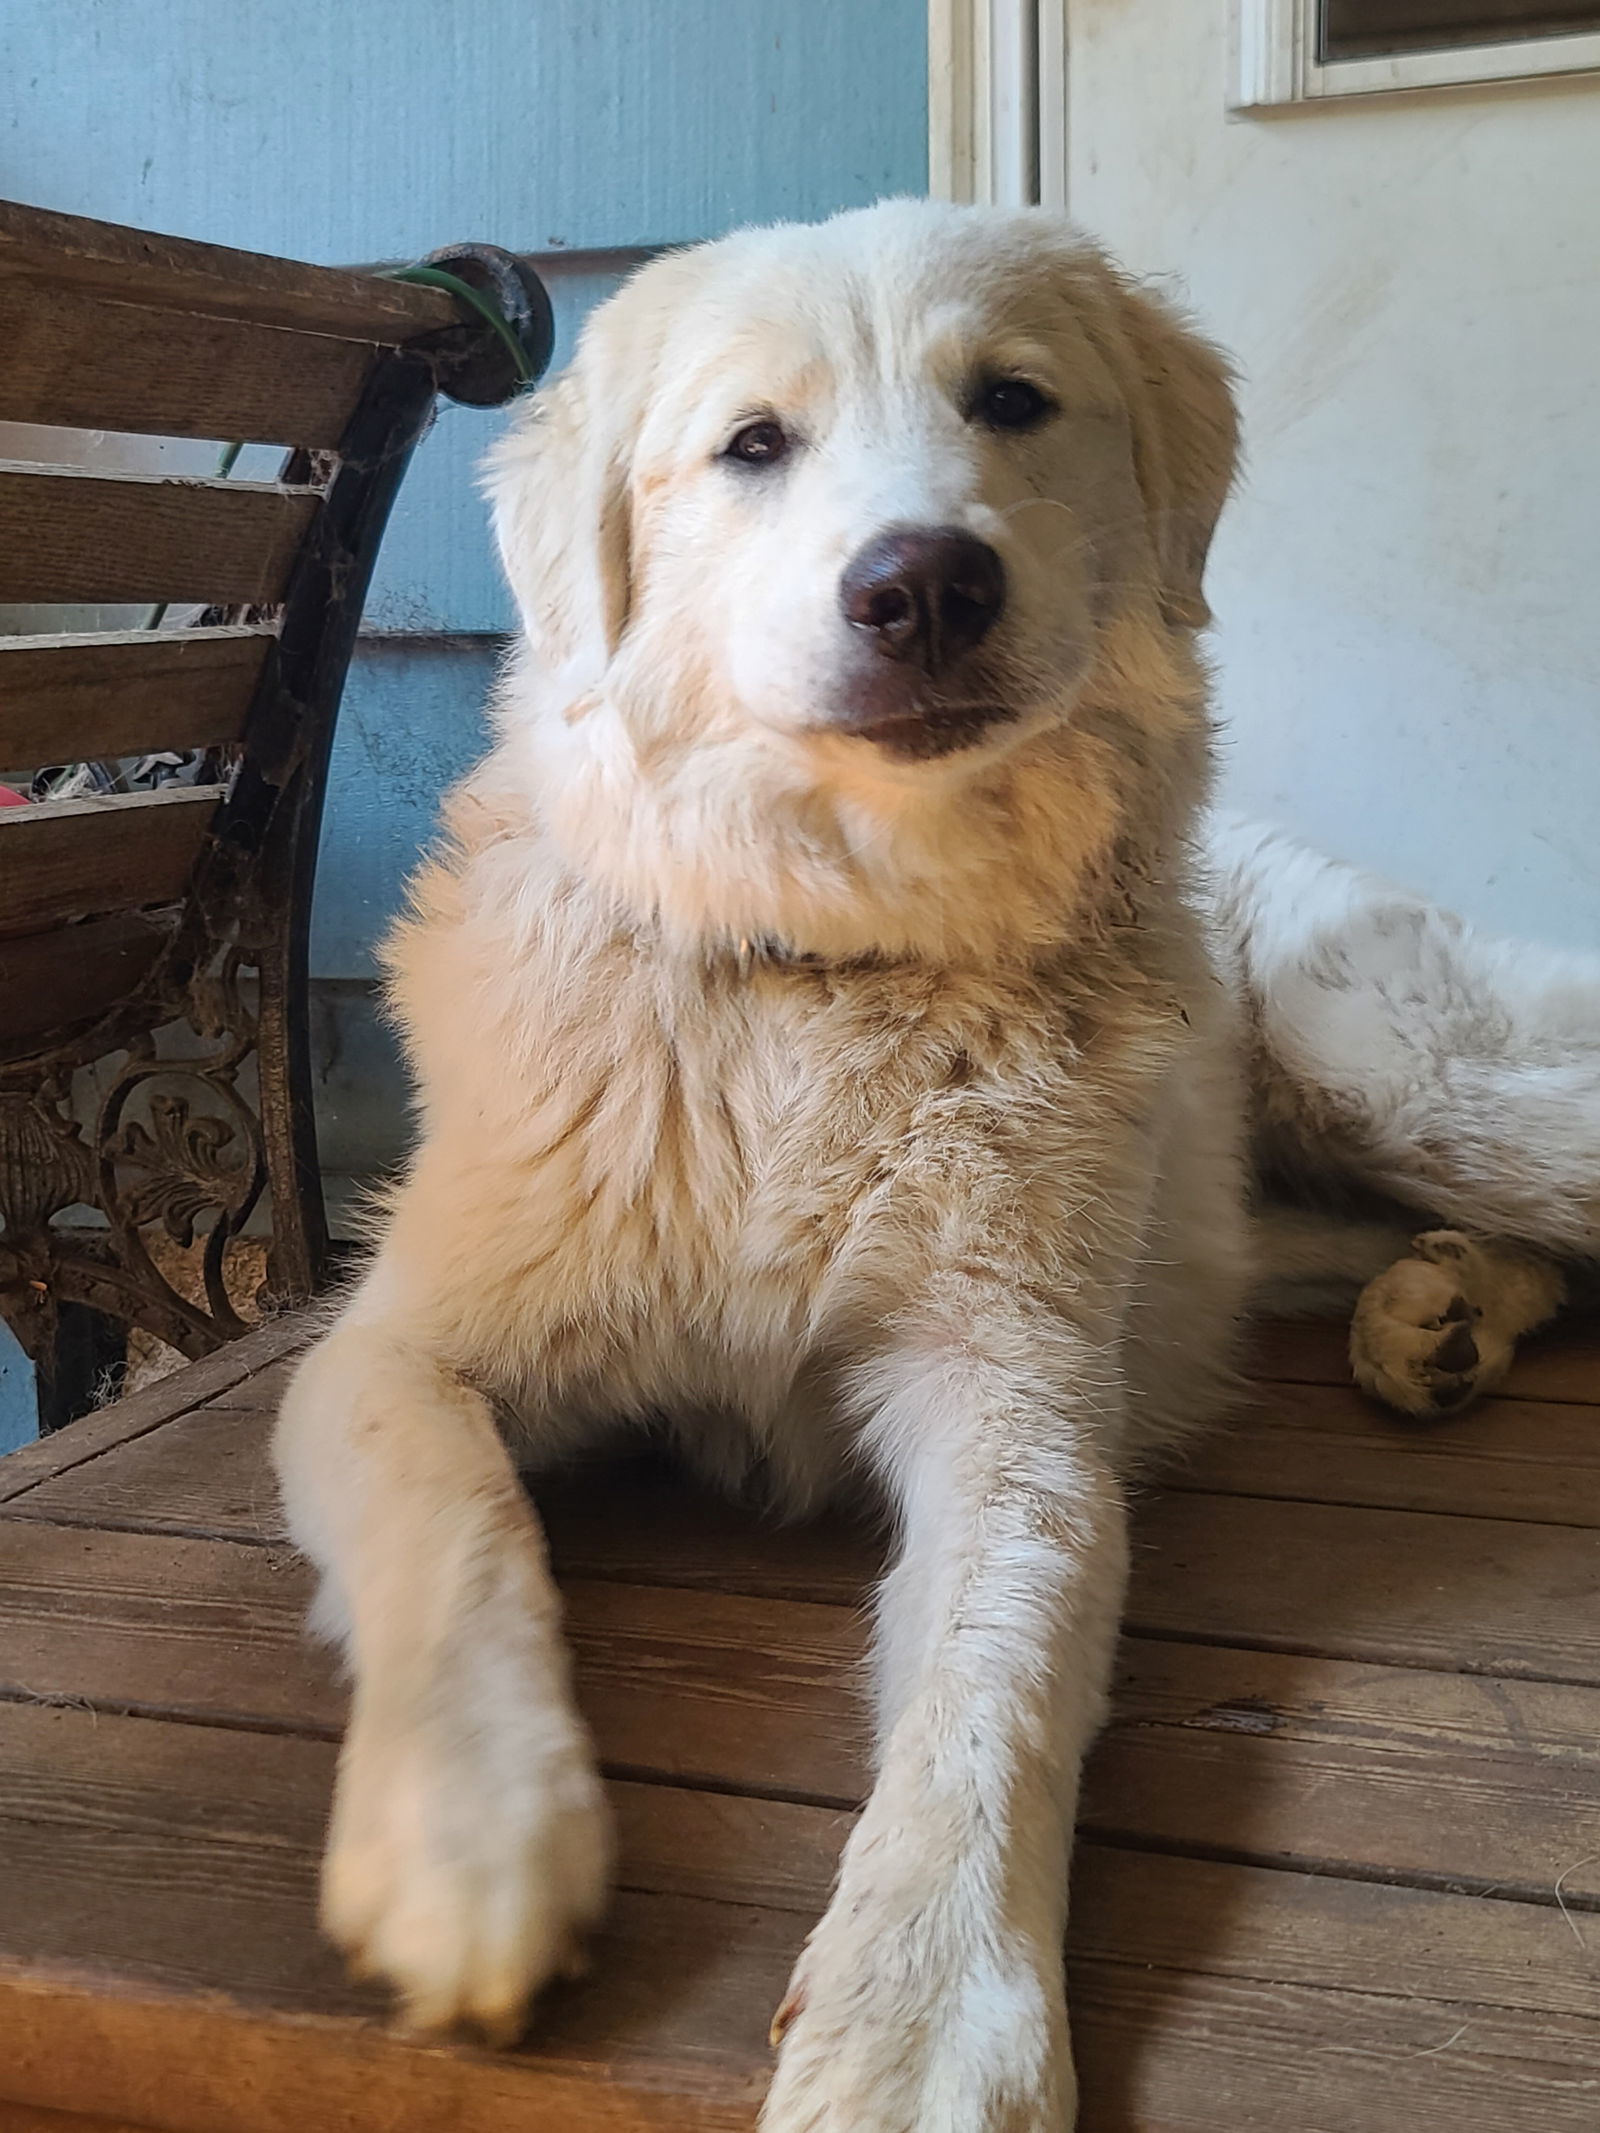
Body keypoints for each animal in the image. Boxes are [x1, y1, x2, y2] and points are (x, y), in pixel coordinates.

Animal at [275, 203, 1600, 2133]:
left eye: (1013, 402)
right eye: (755, 443)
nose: (925, 585)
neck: (832, 964)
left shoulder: (1015, 1404)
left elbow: (996, 1682)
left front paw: (923, 2018)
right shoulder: (387, 1350)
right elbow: (456, 1527)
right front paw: (471, 1838)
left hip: (1407, 1077)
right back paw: (1436, 1317)